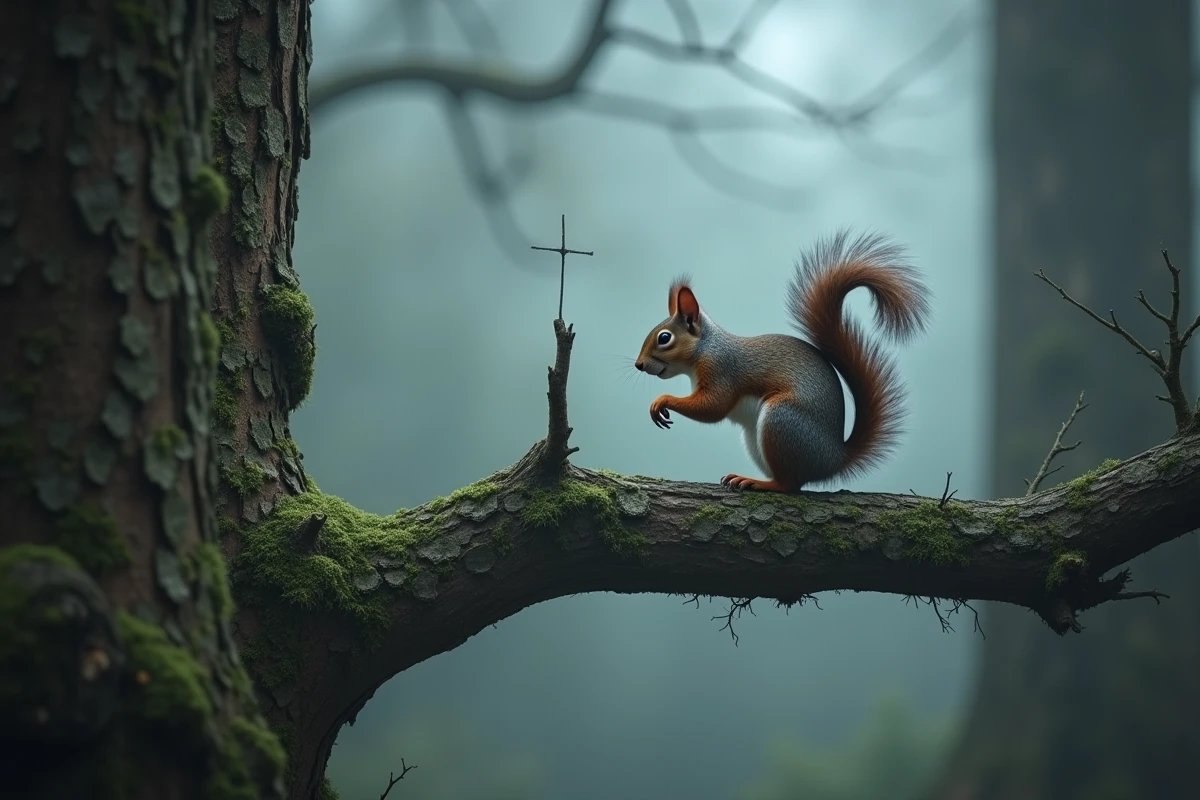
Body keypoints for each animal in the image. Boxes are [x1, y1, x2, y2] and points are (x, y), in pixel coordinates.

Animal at [634, 229, 932, 493]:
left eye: (664, 338)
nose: (638, 365)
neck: (705, 349)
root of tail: (834, 459)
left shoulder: (722, 370)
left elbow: (712, 407)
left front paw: (662, 401)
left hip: (781, 420)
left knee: (790, 485)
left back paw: (758, 482)